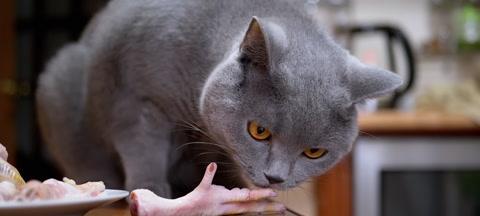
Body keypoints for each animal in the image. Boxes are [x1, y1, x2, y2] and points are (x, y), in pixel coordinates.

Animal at [35, 0, 402, 198]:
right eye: (259, 132)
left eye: (315, 152)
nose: (275, 178)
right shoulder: (137, 98)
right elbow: (141, 147)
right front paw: (151, 189)